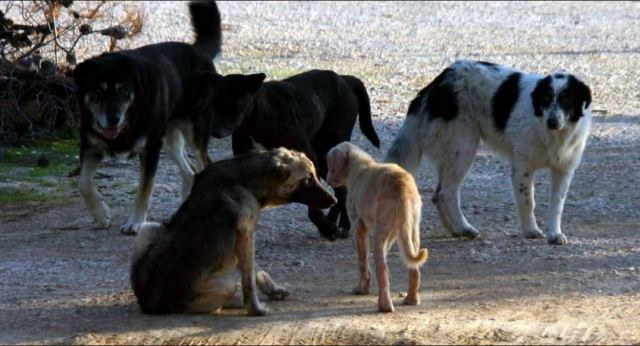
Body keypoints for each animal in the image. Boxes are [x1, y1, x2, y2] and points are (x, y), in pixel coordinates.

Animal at [73, 0, 220, 235]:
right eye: (97, 92)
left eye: (124, 91)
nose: (112, 119)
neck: (128, 120)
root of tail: (198, 51)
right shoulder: (90, 146)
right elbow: (83, 183)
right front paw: (101, 214)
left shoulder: (150, 150)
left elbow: (144, 190)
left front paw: (135, 222)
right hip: (169, 138)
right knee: (190, 173)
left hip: (194, 131)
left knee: (204, 164)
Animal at [132, 147, 338, 314]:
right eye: (308, 179)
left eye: (314, 175)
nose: (334, 200)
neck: (246, 180)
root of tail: (149, 303)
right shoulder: (246, 234)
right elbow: (249, 279)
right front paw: (255, 309)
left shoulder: (245, 239)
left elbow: (257, 271)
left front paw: (273, 291)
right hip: (225, 285)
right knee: (222, 300)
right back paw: (237, 301)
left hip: (148, 228)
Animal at [200, 69, 380, 241]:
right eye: (213, 103)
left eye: (235, 103)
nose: (214, 131)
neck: (257, 119)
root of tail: (344, 78)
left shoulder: (309, 159)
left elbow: (313, 204)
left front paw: (326, 227)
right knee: (339, 189)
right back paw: (333, 221)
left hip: (327, 151)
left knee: (342, 190)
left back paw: (343, 225)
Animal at [328, 142, 428, 312]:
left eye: (331, 167)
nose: (328, 181)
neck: (360, 166)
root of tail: (403, 188)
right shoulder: (393, 234)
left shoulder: (359, 226)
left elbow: (362, 262)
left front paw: (362, 289)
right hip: (412, 231)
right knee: (414, 268)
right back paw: (411, 299)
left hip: (381, 234)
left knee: (383, 268)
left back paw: (385, 306)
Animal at [384, 59, 592, 245]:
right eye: (546, 99)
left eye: (567, 100)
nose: (552, 122)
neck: (553, 134)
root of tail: (437, 83)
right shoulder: (522, 168)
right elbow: (527, 202)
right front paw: (531, 231)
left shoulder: (563, 170)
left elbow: (557, 205)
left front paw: (554, 234)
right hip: (463, 148)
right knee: (446, 193)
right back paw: (464, 228)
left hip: (451, 154)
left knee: (437, 195)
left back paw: (454, 230)